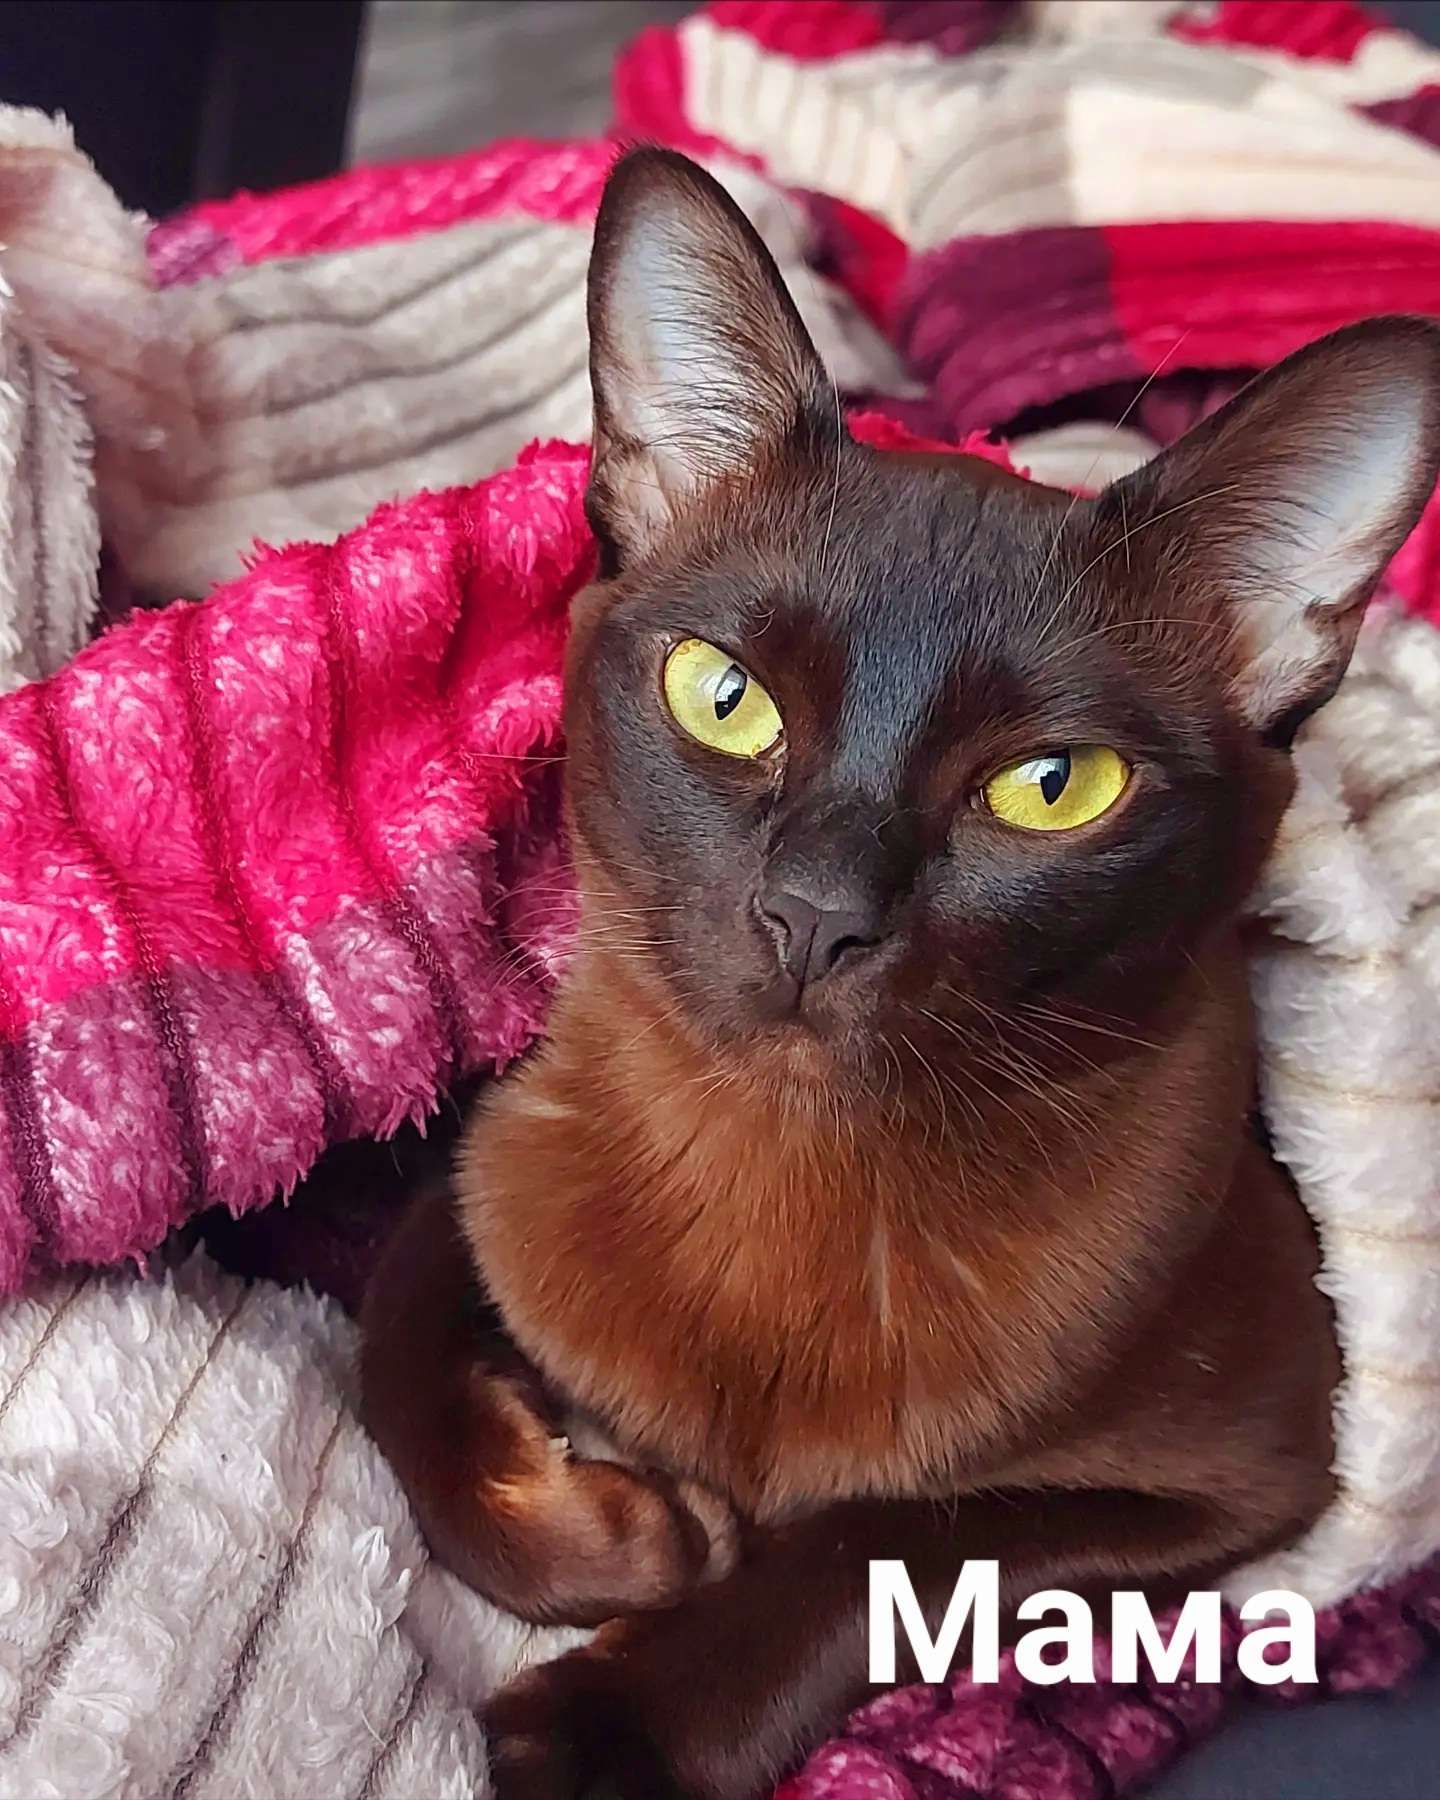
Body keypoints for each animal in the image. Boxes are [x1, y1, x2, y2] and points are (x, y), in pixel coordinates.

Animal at [360, 147, 1440, 1799]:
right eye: (724, 698)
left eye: (1053, 788)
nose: (815, 915)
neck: (776, 1174)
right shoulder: (468, 1180)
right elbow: (396, 1373)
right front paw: (622, 1535)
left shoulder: (1261, 1484)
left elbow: (889, 1549)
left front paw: (603, 1730)